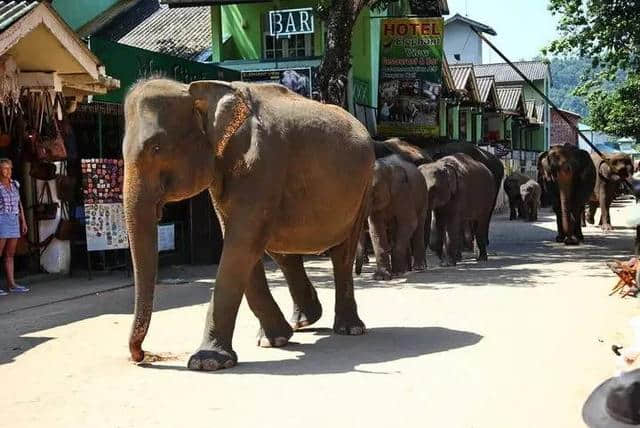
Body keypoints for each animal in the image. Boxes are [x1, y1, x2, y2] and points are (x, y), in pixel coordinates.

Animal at [122, 79, 376, 372]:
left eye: (156, 148)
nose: (141, 357)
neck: (199, 90)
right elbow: (240, 242)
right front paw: (274, 340)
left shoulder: (262, 162)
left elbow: (240, 243)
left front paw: (206, 362)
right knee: (281, 250)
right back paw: (304, 321)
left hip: (363, 187)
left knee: (341, 254)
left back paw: (349, 329)